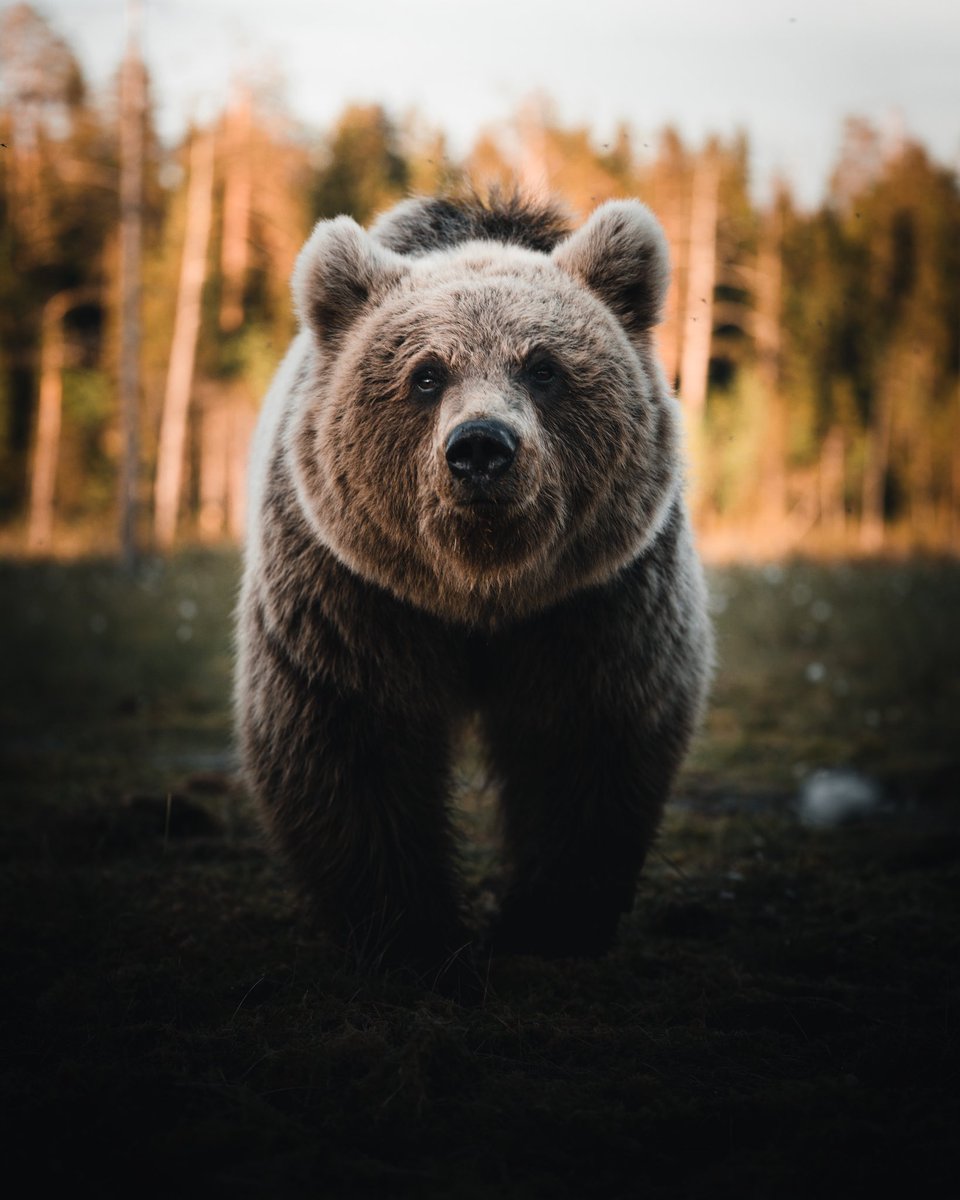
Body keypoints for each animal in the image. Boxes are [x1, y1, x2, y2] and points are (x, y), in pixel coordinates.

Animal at [235, 191, 712, 985]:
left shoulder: (596, 602)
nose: (482, 447)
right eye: (426, 374)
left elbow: (583, 740)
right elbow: (352, 742)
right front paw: (410, 935)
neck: (482, 593)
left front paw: (551, 923)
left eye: (544, 367)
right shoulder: (351, 598)